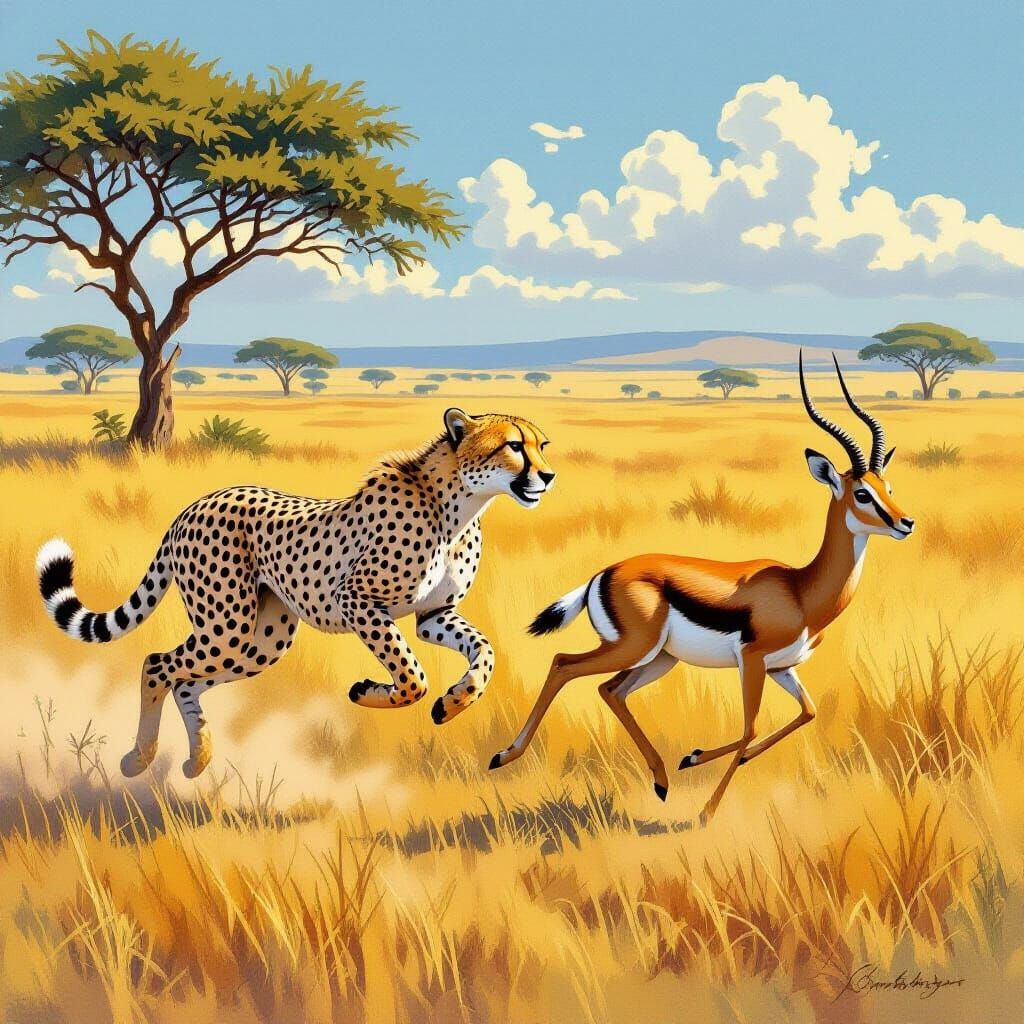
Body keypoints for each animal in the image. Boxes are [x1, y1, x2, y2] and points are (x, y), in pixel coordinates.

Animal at [490, 354, 914, 824]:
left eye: (888, 487)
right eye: (862, 493)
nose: (906, 523)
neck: (801, 591)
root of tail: (604, 573)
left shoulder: (783, 667)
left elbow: (806, 713)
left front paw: (692, 758)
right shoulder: (753, 661)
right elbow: (751, 727)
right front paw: (707, 809)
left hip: (660, 659)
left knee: (610, 690)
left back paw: (661, 780)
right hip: (634, 649)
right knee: (563, 664)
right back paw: (504, 756)